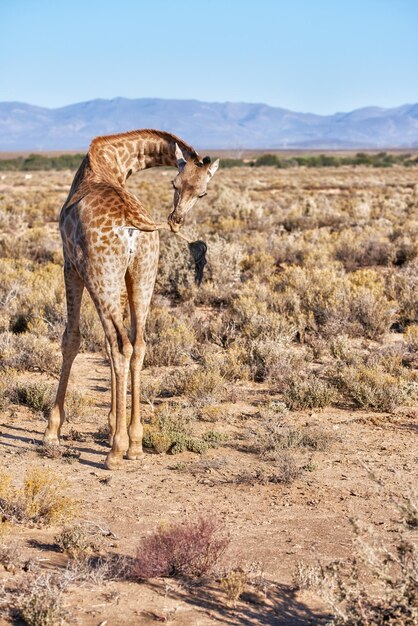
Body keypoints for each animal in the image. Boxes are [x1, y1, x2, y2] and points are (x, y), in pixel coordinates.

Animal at [43, 128, 220, 468]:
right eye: (175, 184)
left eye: (203, 193)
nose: (176, 219)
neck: (110, 162)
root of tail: (134, 228)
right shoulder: (122, 278)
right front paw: (114, 421)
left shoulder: (69, 265)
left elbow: (72, 339)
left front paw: (52, 430)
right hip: (142, 275)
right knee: (137, 345)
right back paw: (135, 442)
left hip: (100, 274)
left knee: (119, 343)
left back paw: (115, 451)